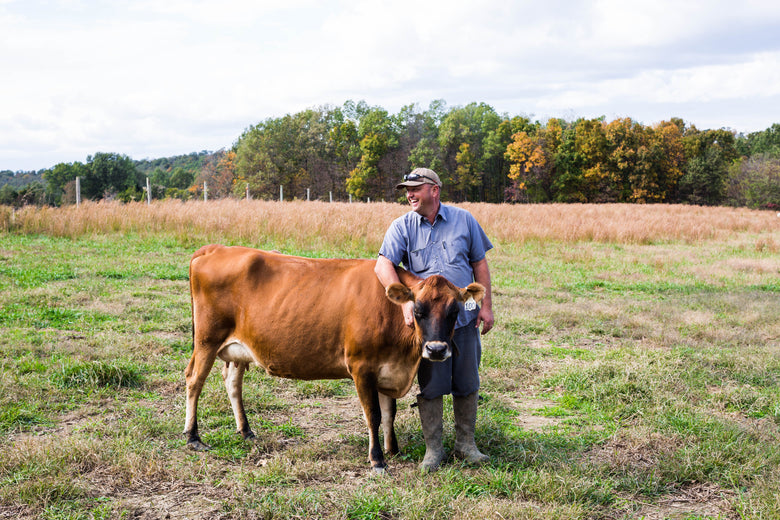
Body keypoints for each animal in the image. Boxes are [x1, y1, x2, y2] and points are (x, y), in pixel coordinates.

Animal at [185, 246, 484, 474]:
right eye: (418, 309)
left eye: (454, 311)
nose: (436, 350)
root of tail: (215, 248)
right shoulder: (362, 367)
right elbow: (374, 415)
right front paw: (377, 459)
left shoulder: (387, 367)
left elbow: (390, 412)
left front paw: (393, 449)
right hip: (206, 340)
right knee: (194, 380)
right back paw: (193, 437)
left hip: (236, 349)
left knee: (232, 383)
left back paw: (245, 431)